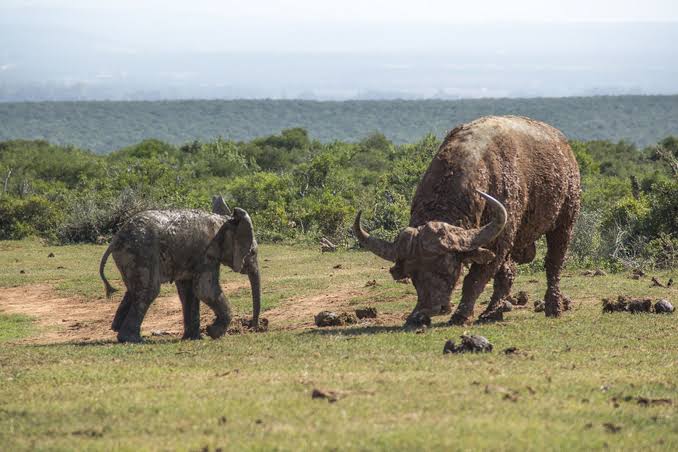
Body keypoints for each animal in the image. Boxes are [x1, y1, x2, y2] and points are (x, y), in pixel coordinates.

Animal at [99, 196, 260, 343]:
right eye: (252, 252)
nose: (253, 328)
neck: (223, 222)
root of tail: (115, 240)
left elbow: (189, 291)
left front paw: (194, 338)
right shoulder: (206, 253)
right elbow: (205, 290)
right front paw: (212, 332)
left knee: (135, 290)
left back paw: (119, 330)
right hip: (140, 252)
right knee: (148, 291)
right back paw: (134, 340)